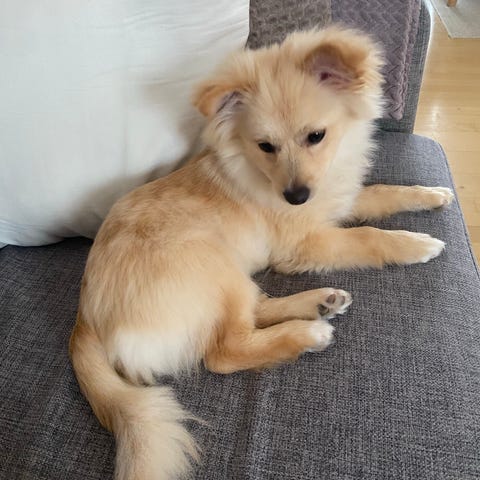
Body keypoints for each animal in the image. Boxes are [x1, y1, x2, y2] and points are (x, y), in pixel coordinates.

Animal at [70, 27, 453, 480]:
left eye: (316, 137)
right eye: (266, 146)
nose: (295, 197)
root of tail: (87, 317)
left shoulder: (337, 200)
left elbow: (382, 193)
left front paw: (431, 194)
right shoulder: (304, 242)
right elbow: (369, 236)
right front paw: (415, 244)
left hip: (230, 275)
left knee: (255, 310)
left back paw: (320, 302)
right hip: (213, 263)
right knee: (225, 349)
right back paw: (308, 333)